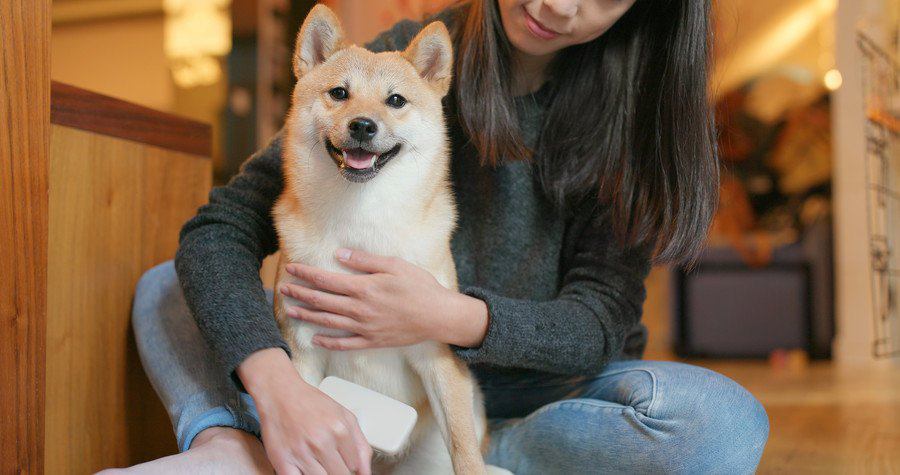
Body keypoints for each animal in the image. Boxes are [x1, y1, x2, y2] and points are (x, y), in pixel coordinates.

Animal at [270, 4, 502, 475]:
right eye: (339, 93)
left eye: (395, 100)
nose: (363, 125)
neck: (362, 225)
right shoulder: (303, 353)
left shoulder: (439, 358)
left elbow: (465, 450)